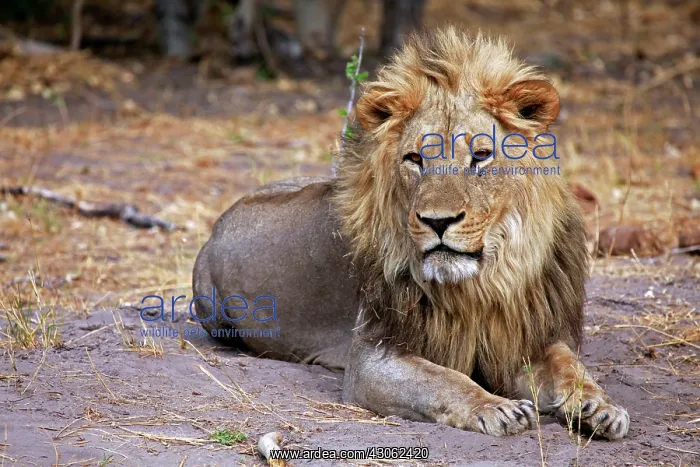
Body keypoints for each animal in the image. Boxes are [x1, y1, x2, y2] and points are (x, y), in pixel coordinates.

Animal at [192, 27, 630, 440]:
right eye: (415, 158)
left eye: (481, 156)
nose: (438, 221)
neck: (481, 286)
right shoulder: (371, 357)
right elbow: (443, 379)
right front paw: (495, 408)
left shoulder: (520, 336)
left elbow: (568, 365)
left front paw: (599, 406)